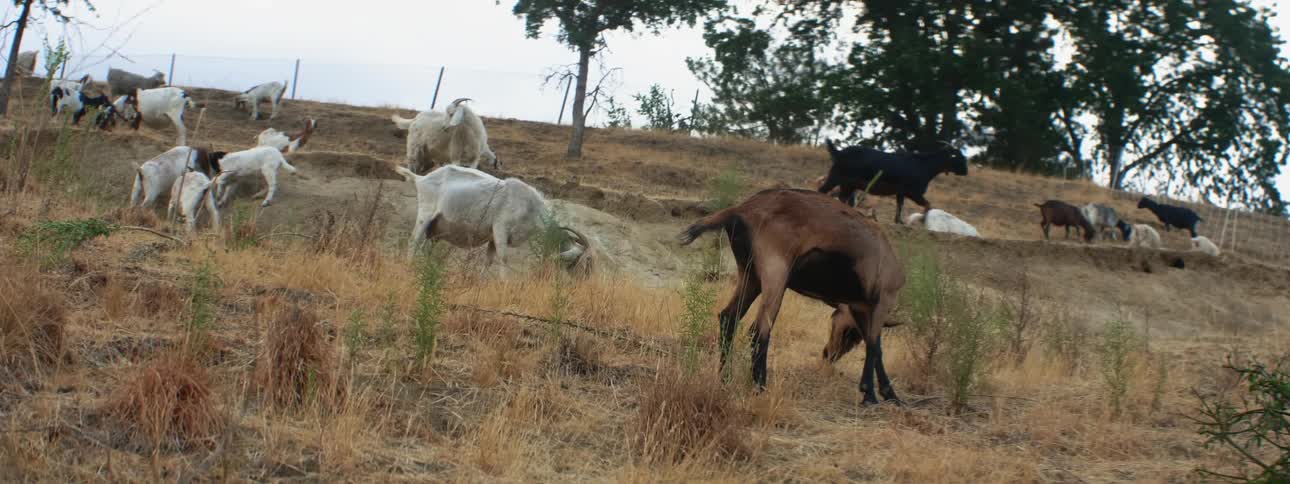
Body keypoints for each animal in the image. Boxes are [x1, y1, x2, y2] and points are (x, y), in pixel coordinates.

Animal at [393, 164, 594, 274]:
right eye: (581, 261)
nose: (581, 280)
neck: (530, 206)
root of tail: (421, 178)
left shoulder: (492, 238)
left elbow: (489, 261)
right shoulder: (500, 229)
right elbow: (504, 258)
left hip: (436, 229)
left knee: (427, 247)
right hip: (425, 215)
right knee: (414, 241)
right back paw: (409, 267)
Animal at [678, 189, 905, 405]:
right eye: (850, 334)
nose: (828, 354)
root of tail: (740, 209)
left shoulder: (860, 307)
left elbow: (873, 344)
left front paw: (889, 394)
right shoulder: (881, 301)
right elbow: (874, 345)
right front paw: (871, 395)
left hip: (750, 276)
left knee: (728, 318)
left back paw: (725, 379)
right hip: (775, 275)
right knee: (759, 330)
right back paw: (760, 386)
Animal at [818, 139, 968, 224]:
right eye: (957, 156)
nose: (966, 171)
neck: (924, 165)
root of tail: (838, 152)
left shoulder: (901, 192)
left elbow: (900, 205)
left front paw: (899, 221)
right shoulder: (913, 192)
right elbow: (928, 205)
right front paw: (922, 220)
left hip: (847, 184)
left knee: (841, 197)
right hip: (837, 177)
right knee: (823, 190)